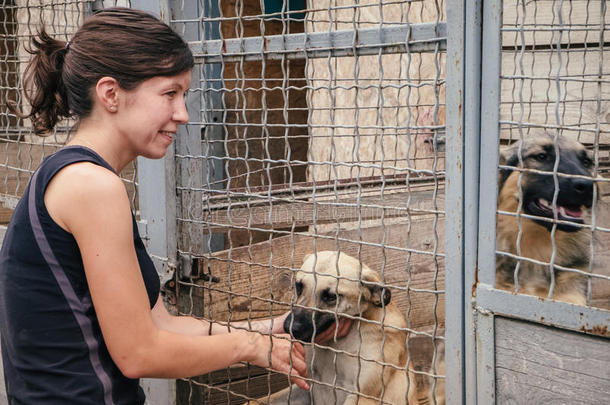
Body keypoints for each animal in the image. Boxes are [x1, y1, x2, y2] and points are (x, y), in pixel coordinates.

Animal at [249, 251, 444, 402]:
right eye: (298, 286)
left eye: (331, 297)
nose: (290, 327)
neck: (336, 345)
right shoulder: (308, 384)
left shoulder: (362, 395)